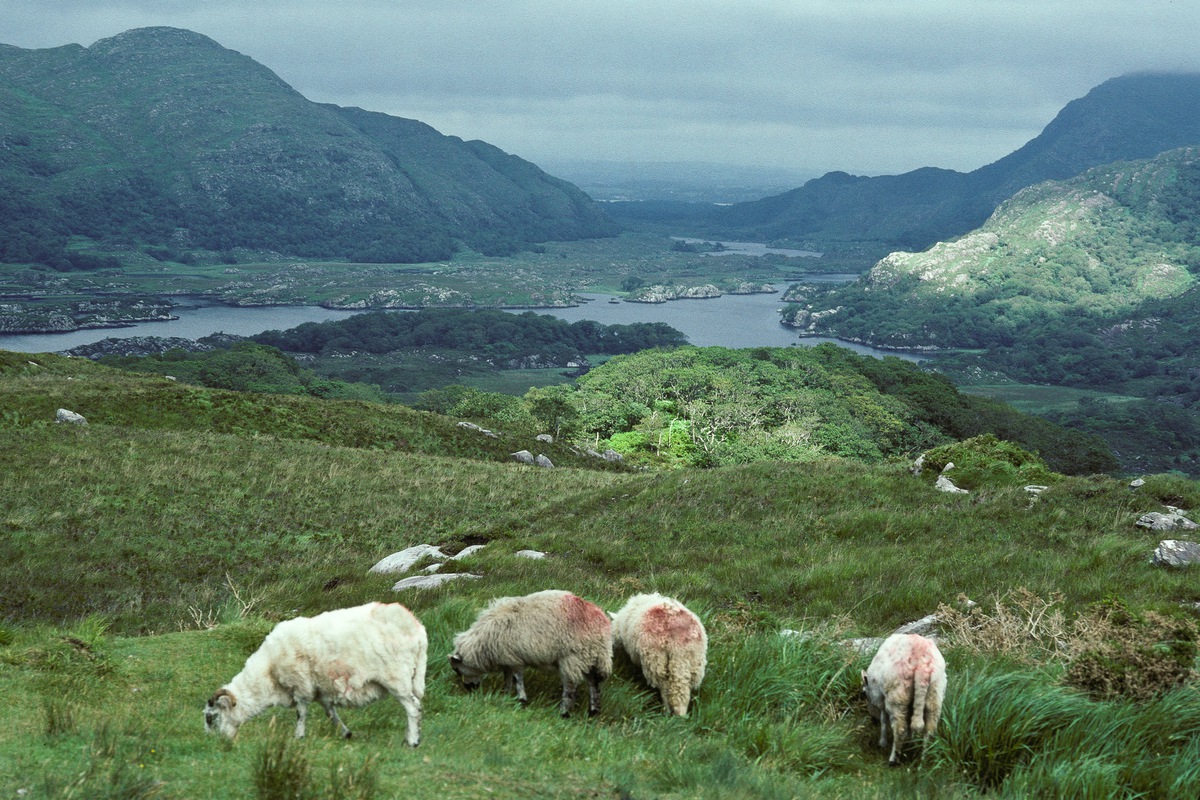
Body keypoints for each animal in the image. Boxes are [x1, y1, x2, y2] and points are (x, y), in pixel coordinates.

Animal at [205, 604, 427, 748]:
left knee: (413, 708)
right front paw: (346, 733)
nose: (213, 744)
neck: (268, 673)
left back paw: (413, 741)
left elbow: (301, 713)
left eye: (211, 717)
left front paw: (298, 737)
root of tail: (416, 629)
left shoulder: (300, 686)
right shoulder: (321, 690)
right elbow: (331, 713)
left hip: (397, 677)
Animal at [453, 587, 614, 719]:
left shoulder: (515, 659)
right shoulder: (508, 658)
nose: (469, 689)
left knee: (570, 687)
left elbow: (516, 679)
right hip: (590, 657)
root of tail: (601, 623)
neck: (482, 641)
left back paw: (563, 713)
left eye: (457, 670)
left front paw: (521, 700)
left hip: (573, 658)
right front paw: (505, 695)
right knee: (594, 684)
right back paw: (593, 712)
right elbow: (507, 678)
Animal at [864, 633, 945, 762]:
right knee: (929, 728)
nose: (872, 718)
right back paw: (924, 758)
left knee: (900, 728)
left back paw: (893, 759)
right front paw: (911, 741)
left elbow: (883, 719)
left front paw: (882, 742)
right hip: (935, 691)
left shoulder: (880, 698)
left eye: (864, 694)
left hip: (898, 693)